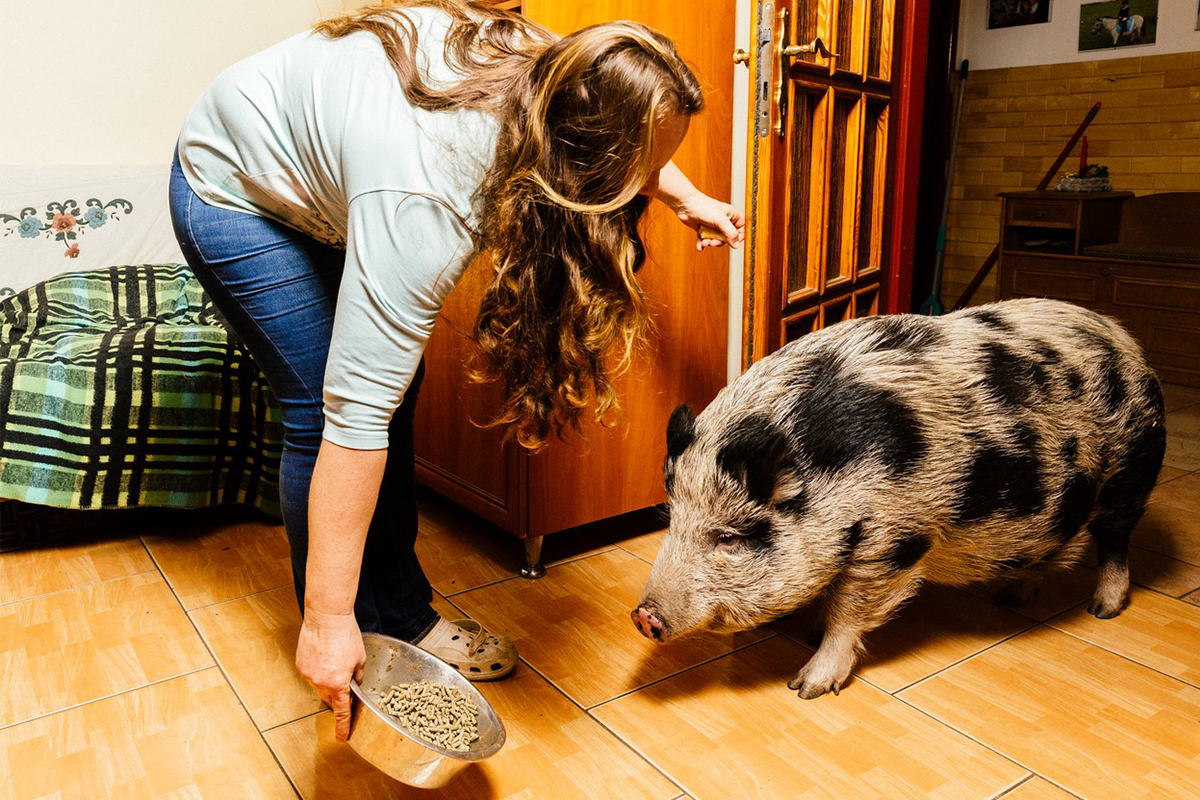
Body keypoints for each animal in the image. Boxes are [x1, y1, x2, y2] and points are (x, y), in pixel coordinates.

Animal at [633, 297, 1166, 695]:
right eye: (672, 519)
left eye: (730, 537)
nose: (643, 615)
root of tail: (1126, 339)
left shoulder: (894, 539)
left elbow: (849, 610)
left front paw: (807, 686)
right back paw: (1011, 596)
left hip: (1131, 472)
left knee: (1115, 540)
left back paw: (1103, 609)